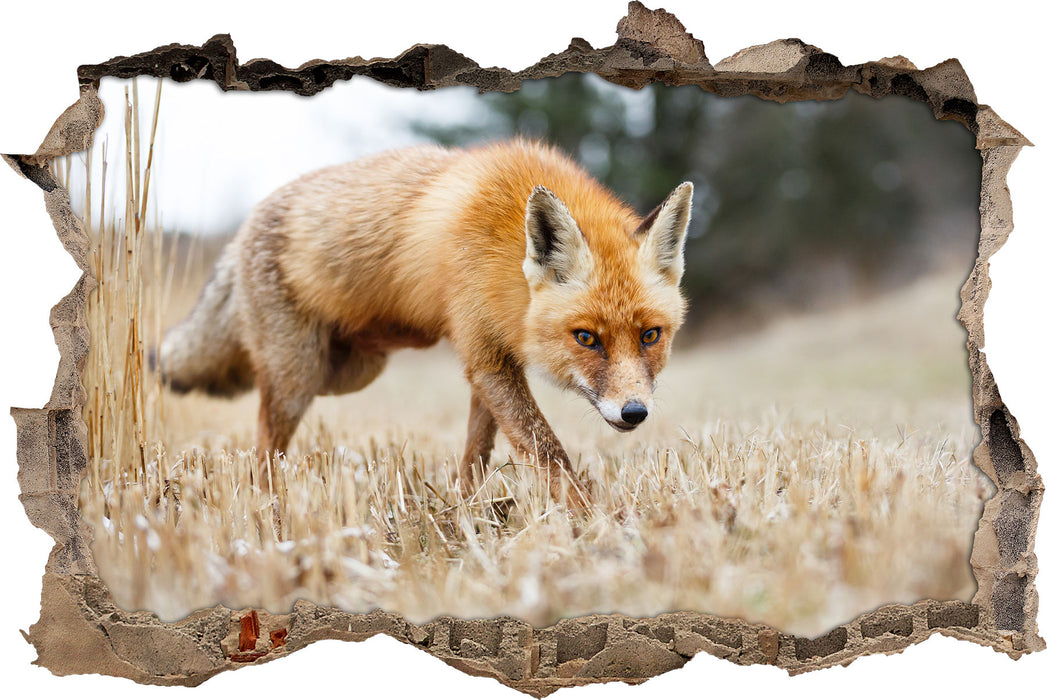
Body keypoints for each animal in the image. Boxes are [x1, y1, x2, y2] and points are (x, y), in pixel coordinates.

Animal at [156, 139, 692, 511]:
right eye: (586, 338)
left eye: (650, 335)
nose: (634, 413)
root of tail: (241, 229)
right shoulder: (486, 356)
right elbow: (546, 450)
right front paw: (594, 523)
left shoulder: (491, 359)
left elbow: (478, 450)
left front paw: (467, 508)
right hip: (299, 378)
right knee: (265, 441)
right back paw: (267, 504)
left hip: (348, 370)